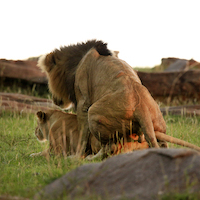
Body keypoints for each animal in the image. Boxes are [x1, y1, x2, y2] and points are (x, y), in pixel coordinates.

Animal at [37, 39, 200, 158]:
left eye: (48, 75)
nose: (55, 100)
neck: (78, 61)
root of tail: (141, 109)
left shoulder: (83, 101)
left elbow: (82, 134)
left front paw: (77, 156)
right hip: (158, 124)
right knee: (162, 143)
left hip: (93, 113)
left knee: (109, 147)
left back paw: (90, 158)